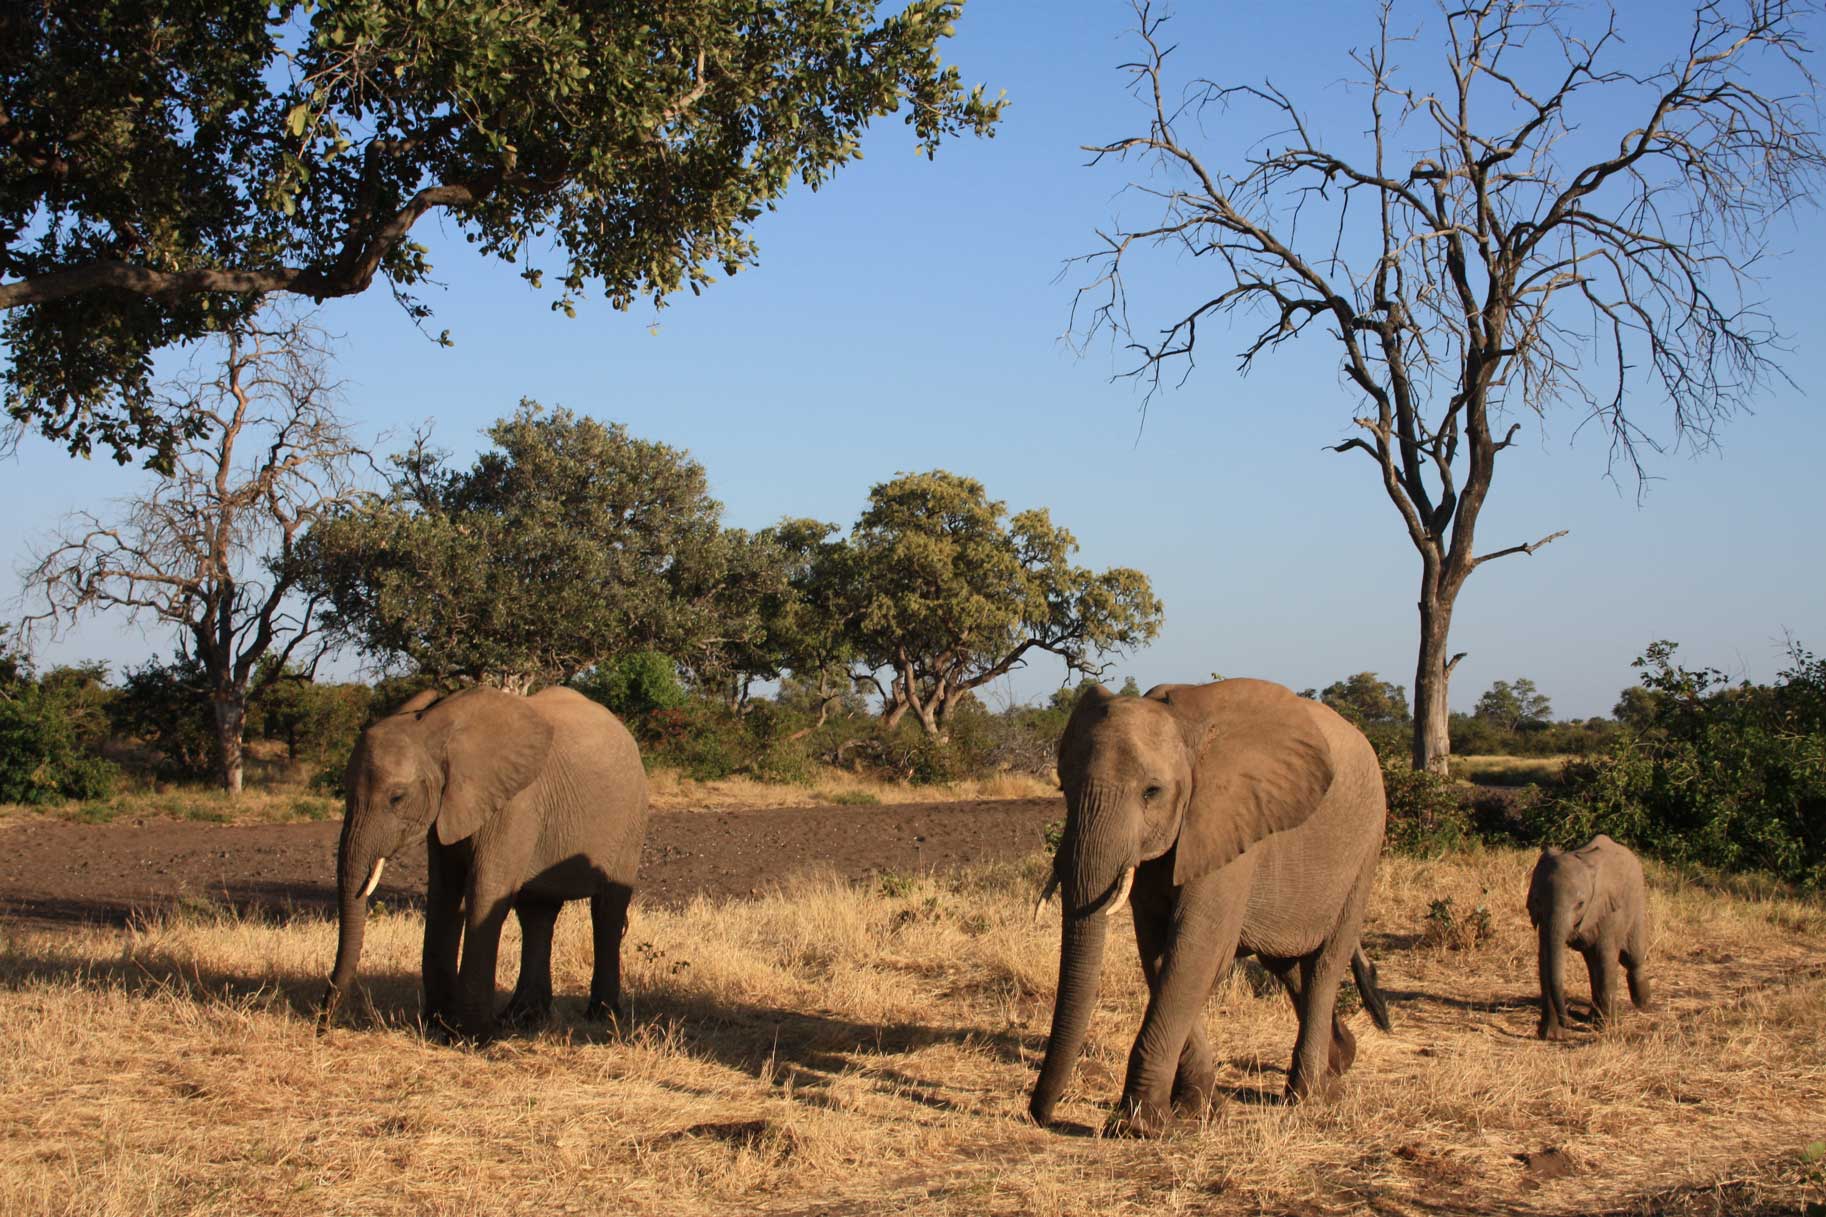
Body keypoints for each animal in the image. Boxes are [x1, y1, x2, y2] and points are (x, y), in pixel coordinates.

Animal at [319, 687, 650, 1037]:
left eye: (397, 798)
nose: (323, 1025)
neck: (436, 729)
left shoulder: (516, 804)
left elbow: (485, 891)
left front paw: (471, 1035)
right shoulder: (449, 808)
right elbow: (444, 894)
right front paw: (438, 1025)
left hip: (630, 822)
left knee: (607, 910)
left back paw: (601, 1016)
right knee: (537, 913)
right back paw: (524, 1018)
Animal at [1029, 676, 1395, 1132]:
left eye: (1152, 792)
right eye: (1064, 787)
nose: (1039, 1114)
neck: (1185, 729)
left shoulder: (1227, 821)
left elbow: (1197, 952)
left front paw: (1139, 1125)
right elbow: (1159, 953)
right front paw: (1199, 1109)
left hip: (1366, 846)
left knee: (1325, 965)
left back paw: (1310, 1096)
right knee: (1289, 965)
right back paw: (1341, 1059)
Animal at [1526, 829, 1658, 1037]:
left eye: (1580, 904)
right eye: (1537, 900)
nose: (1568, 1019)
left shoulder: (1607, 909)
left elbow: (1606, 957)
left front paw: (1607, 1029)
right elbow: (1545, 959)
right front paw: (1550, 1036)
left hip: (1637, 900)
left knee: (1632, 957)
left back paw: (1642, 1003)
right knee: (1591, 962)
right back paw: (1592, 1018)